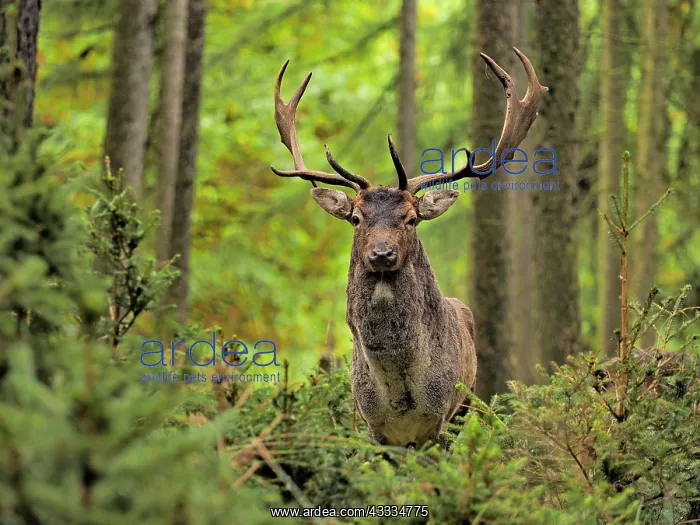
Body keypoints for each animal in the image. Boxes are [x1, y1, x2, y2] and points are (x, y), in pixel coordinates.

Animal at [271, 48, 547, 448]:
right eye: (355, 218)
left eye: (412, 218)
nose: (382, 254)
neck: (399, 394)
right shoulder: (374, 427)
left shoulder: (437, 421)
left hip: (469, 404)